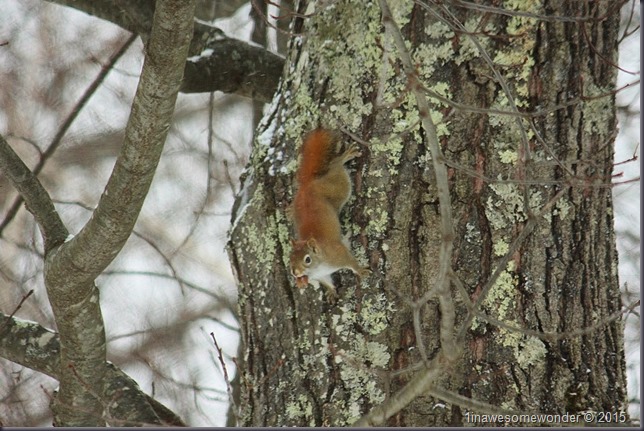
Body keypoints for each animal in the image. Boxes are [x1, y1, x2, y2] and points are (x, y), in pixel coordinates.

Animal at [289, 128, 370, 300]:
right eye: (290, 258)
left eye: (307, 259)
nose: (295, 273)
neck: (318, 267)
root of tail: (307, 186)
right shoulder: (321, 276)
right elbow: (327, 282)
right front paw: (332, 292)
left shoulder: (339, 254)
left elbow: (351, 263)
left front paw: (360, 271)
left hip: (340, 188)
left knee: (335, 167)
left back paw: (345, 156)